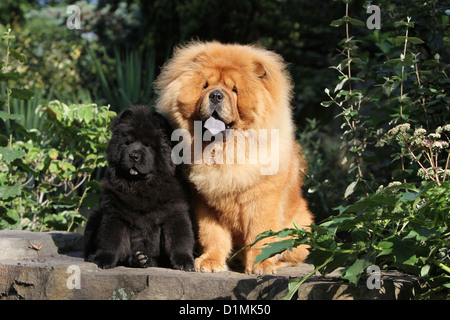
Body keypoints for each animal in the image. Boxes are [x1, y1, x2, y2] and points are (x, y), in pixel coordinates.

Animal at [84, 105, 195, 270]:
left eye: (148, 145)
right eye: (126, 142)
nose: (134, 156)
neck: (140, 186)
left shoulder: (175, 212)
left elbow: (179, 238)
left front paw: (184, 261)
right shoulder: (114, 212)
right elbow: (110, 238)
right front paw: (103, 259)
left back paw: (141, 258)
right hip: (95, 217)